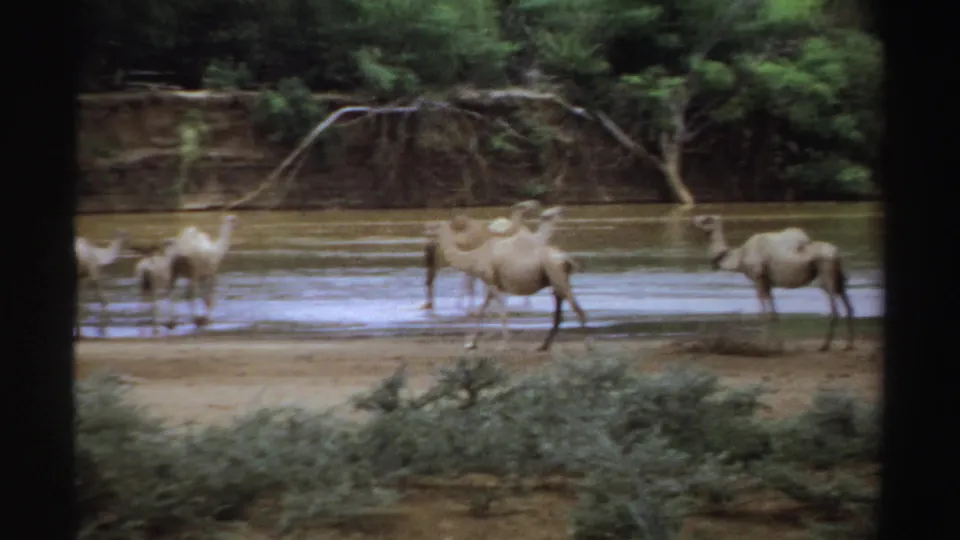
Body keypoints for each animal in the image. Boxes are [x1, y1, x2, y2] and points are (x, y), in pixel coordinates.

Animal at [424, 205, 589, 352]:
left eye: (438, 231)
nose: (431, 245)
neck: (475, 256)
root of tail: (566, 259)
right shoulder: (492, 285)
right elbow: (482, 310)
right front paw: (471, 343)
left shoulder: (491, 282)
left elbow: (501, 311)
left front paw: (503, 345)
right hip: (556, 280)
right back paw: (543, 345)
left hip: (557, 276)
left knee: (577, 309)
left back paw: (586, 344)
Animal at [691, 214, 854, 351]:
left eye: (707, 219)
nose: (694, 220)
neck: (740, 257)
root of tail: (837, 253)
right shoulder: (767, 280)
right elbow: (773, 313)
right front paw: (775, 344)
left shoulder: (758, 277)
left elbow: (764, 312)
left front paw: (762, 345)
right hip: (837, 276)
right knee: (848, 304)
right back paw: (847, 345)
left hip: (825, 271)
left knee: (834, 307)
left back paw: (824, 346)